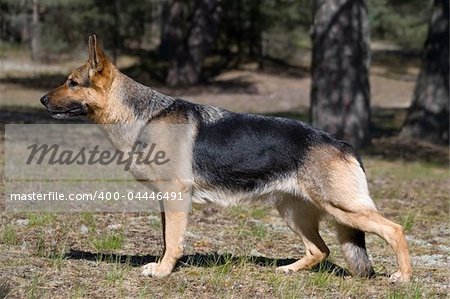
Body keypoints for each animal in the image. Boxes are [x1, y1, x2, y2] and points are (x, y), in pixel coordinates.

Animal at [39, 35, 412, 284]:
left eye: (72, 83)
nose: (42, 100)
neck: (142, 115)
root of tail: (342, 142)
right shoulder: (165, 199)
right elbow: (167, 238)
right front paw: (165, 266)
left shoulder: (176, 196)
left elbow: (173, 241)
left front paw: (163, 271)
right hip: (293, 212)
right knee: (319, 250)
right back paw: (287, 270)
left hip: (343, 208)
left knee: (394, 229)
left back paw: (403, 277)